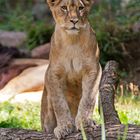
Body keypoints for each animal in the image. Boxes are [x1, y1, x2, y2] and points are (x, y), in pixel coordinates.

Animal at [41, 0, 101, 139]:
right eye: (64, 8)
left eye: (81, 8)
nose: (74, 20)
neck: (72, 41)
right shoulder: (53, 73)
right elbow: (59, 103)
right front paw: (64, 127)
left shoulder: (93, 70)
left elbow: (88, 99)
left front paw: (85, 123)